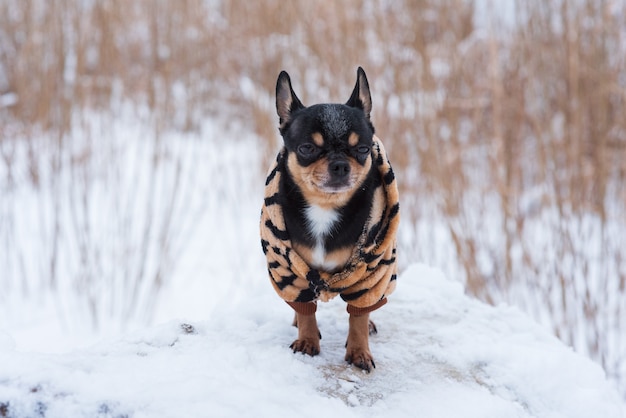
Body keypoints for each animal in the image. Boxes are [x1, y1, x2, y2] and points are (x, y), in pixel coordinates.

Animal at [260, 67, 400, 370]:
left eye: (362, 149)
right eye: (307, 149)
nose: (339, 165)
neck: (325, 207)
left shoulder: (372, 273)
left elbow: (358, 314)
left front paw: (359, 351)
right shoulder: (288, 269)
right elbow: (305, 311)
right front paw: (307, 340)